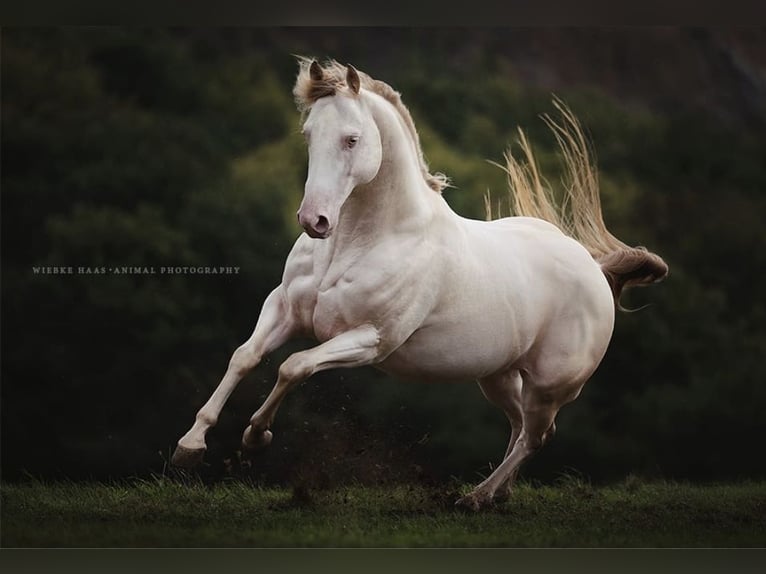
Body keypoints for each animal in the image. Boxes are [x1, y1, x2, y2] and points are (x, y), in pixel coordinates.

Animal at [171, 58, 668, 510]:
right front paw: (190, 447)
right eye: (309, 134)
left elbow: (294, 366)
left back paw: (474, 497)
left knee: (536, 436)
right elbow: (245, 356)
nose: (315, 221)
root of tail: (594, 268)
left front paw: (256, 435)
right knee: (520, 428)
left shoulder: (371, 340)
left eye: (352, 139)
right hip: (498, 376)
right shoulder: (285, 310)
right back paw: (497, 494)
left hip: (551, 385)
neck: (360, 243)